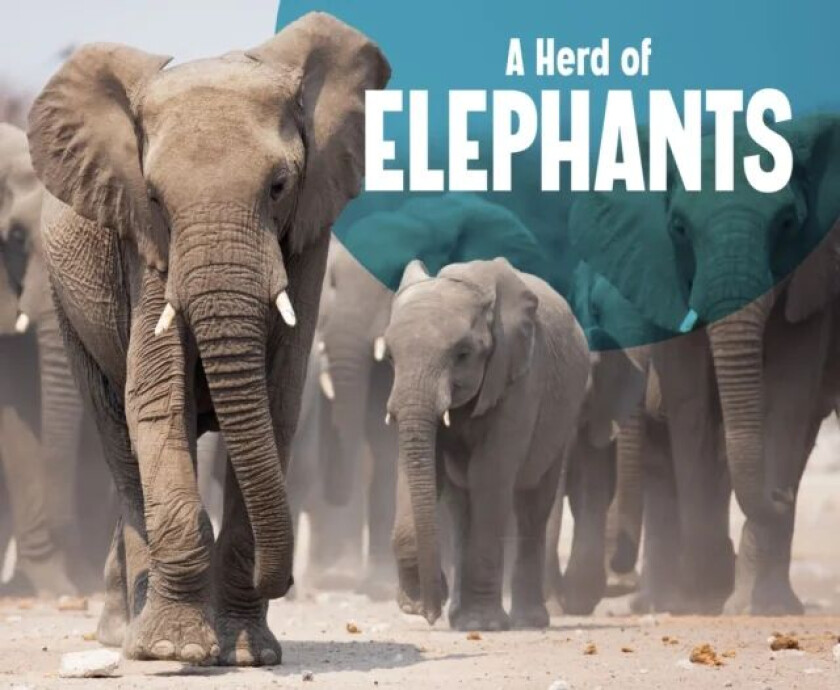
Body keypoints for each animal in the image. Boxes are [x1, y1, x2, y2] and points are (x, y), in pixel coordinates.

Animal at [26, 12, 389, 665]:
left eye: (279, 186)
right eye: (153, 197)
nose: (288, 580)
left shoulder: (309, 235)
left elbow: (278, 403)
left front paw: (247, 654)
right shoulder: (141, 245)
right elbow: (155, 399)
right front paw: (174, 650)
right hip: (64, 300)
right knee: (119, 440)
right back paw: (127, 634)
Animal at [386, 257, 590, 630]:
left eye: (463, 354)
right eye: (391, 358)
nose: (431, 613)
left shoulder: (521, 379)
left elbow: (490, 475)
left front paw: (485, 625)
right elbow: (421, 471)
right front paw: (418, 603)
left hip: (564, 413)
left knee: (532, 507)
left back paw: (526, 621)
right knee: (460, 507)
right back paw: (460, 618)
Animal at [570, 114, 840, 614]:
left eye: (788, 223)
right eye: (678, 227)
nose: (780, 492)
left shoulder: (813, 282)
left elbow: (788, 402)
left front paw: (757, 607)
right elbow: (689, 402)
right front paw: (702, 595)